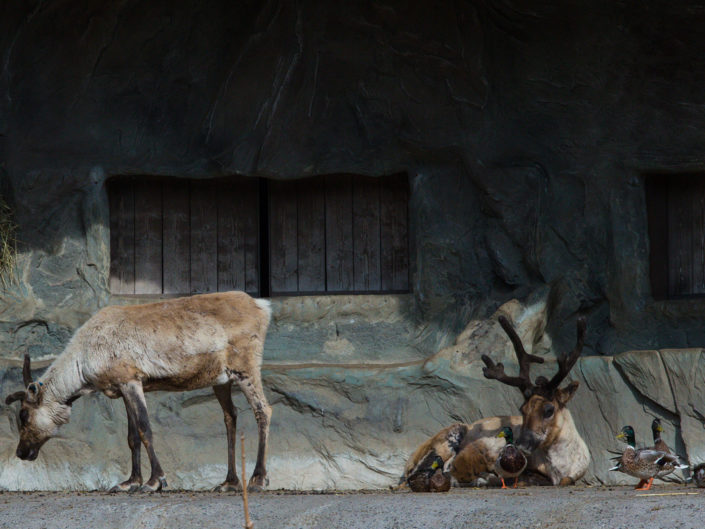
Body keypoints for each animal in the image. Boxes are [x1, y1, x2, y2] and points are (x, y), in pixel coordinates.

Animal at [4, 291, 272, 493]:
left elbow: (145, 428)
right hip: (221, 378)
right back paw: (229, 482)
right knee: (230, 416)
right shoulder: (122, 386)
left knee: (263, 409)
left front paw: (155, 481)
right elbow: (132, 436)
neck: (83, 366)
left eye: (23, 415)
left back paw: (258, 479)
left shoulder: (131, 379)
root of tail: (262, 307)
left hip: (246, 366)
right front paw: (129, 482)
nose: (20, 451)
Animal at [403, 315, 589, 487]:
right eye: (522, 408)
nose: (521, 445)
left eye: (549, 410)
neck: (561, 465)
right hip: (448, 439)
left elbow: (566, 480)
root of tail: (408, 464)